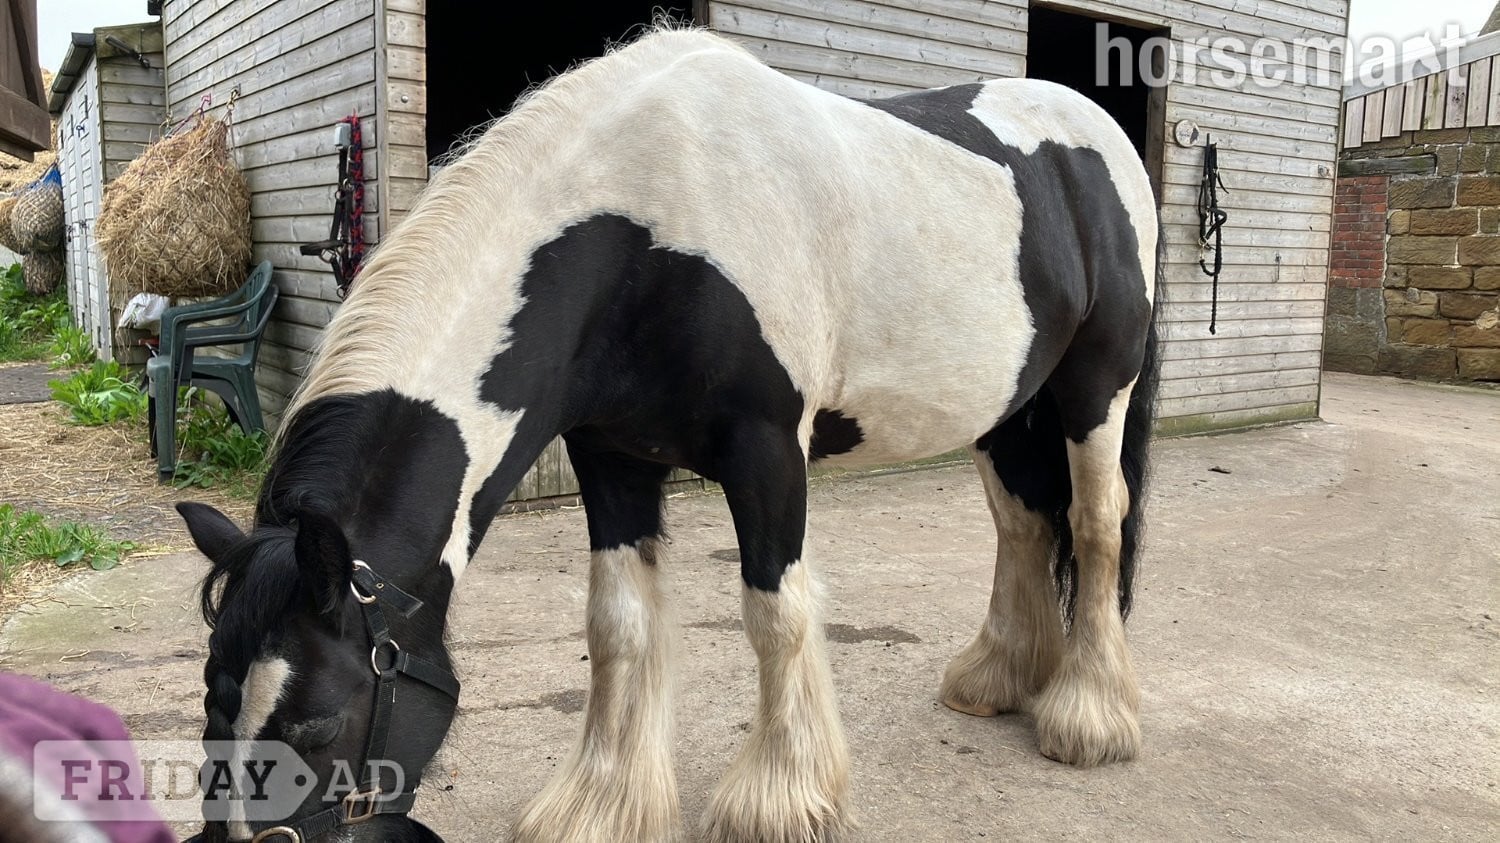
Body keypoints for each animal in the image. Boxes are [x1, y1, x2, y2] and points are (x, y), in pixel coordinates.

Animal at [179, 26, 1159, 843]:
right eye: (212, 701)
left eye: (315, 721)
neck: (646, 230)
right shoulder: (612, 458)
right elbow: (617, 623)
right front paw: (602, 805)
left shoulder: (768, 452)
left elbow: (775, 612)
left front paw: (782, 800)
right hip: (1007, 409)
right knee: (1024, 526)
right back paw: (998, 680)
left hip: (1093, 390)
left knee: (1095, 523)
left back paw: (1088, 715)